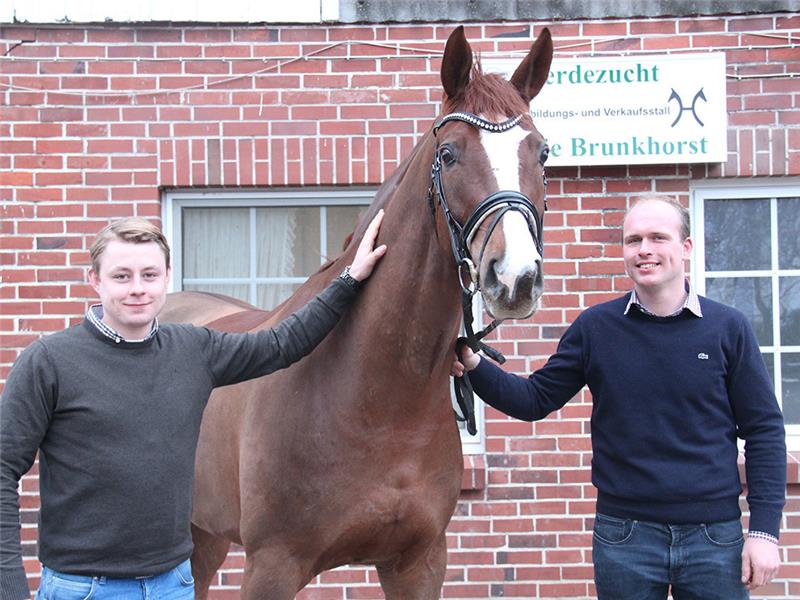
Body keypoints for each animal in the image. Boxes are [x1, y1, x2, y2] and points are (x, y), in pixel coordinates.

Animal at [160, 25, 554, 599]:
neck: (377, 400)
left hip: (204, 535)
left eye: (542, 153)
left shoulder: (418, 564)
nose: (515, 277)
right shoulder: (272, 565)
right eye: (450, 154)